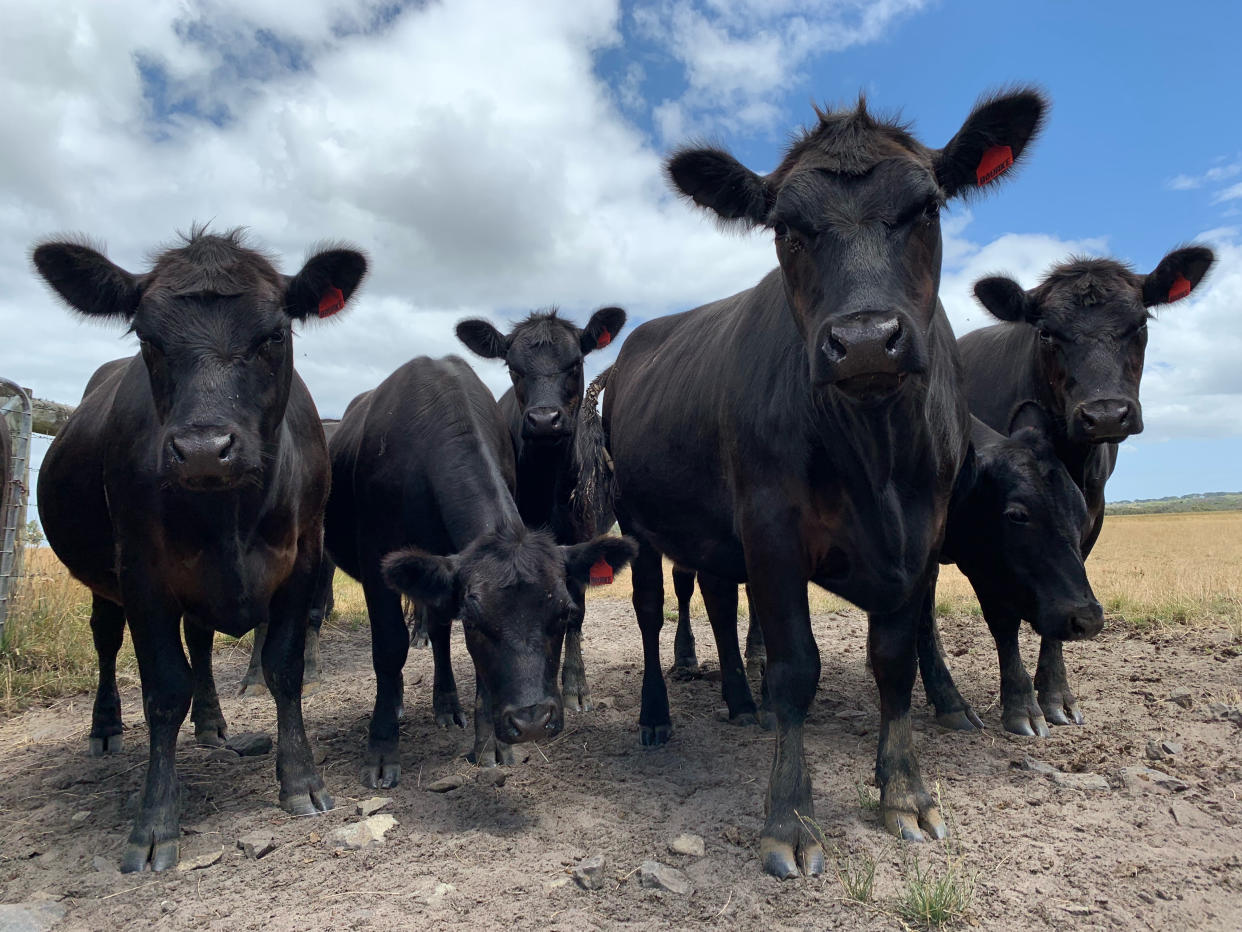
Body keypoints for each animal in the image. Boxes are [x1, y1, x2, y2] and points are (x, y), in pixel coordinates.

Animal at [32, 229, 362, 874]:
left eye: (274, 335)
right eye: (147, 338)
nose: (206, 449)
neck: (229, 515)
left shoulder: (302, 561)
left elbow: (283, 666)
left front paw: (301, 782)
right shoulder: (141, 572)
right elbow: (164, 688)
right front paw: (155, 823)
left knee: (202, 643)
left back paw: (212, 725)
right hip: (108, 581)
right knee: (106, 640)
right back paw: (106, 726)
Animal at [322, 357, 630, 790]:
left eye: (564, 614)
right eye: (474, 622)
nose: (532, 721)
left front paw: (490, 746)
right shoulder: (375, 558)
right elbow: (389, 648)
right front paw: (381, 752)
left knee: (437, 633)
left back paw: (447, 706)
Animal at [457, 310, 625, 710]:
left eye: (575, 363)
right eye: (513, 368)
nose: (545, 419)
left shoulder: (580, 540)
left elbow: (574, 612)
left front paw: (575, 685)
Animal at [588, 91, 1048, 879]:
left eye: (926, 208)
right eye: (786, 229)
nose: (864, 341)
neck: (875, 458)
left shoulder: (921, 537)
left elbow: (894, 662)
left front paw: (905, 793)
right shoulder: (771, 529)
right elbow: (796, 667)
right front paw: (791, 819)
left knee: (717, 605)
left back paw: (740, 703)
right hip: (640, 524)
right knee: (651, 614)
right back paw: (656, 717)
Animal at [958, 249, 1212, 730]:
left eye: (1141, 323)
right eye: (1045, 332)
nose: (1106, 415)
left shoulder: (1089, 519)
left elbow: (1065, 598)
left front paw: (1057, 695)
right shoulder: (985, 534)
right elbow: (1002, 616)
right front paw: (1020, 704)